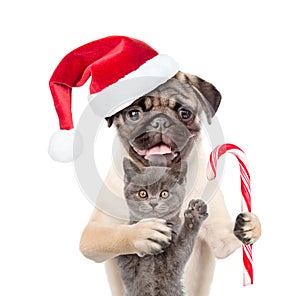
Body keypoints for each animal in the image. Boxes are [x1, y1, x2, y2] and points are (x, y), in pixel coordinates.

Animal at [118, 160, 209, 296]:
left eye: (164, 193)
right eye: (142, 193)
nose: (153, 203)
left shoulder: (173, 265)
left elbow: (183, 245)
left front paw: (195, 214)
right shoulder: (128, 268)